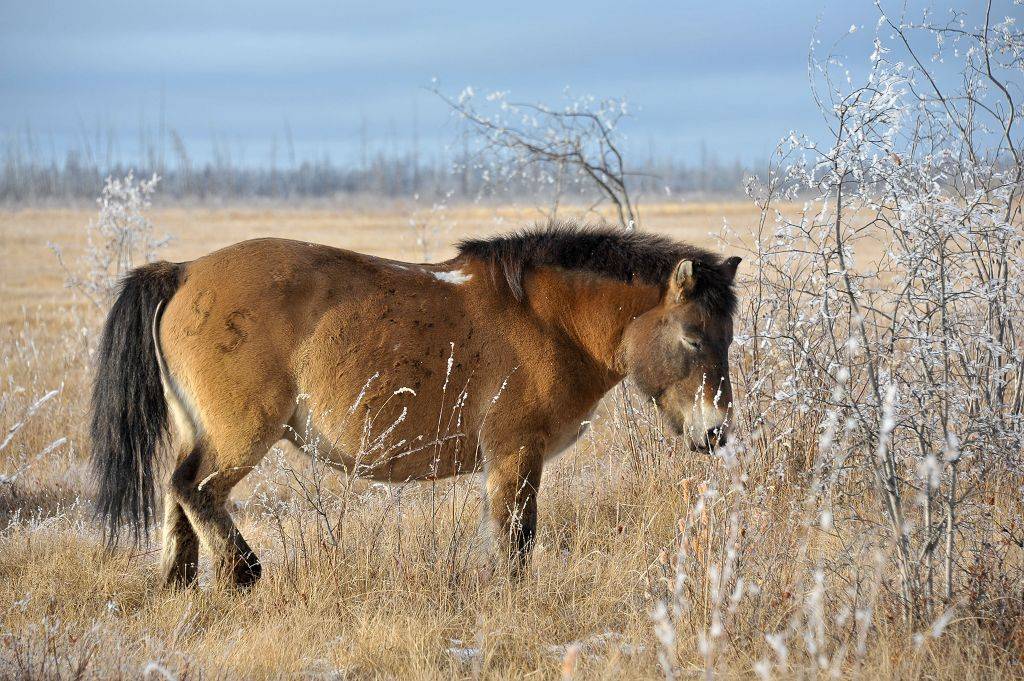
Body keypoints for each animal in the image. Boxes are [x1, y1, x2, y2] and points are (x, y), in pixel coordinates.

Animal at [89, 223, 741, 588]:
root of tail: (183, 272)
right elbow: (516, 539)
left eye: (727, 337)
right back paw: (241, 575)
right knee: (195, 489)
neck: (547, 320)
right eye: (692, 337)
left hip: (196, 429)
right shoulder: (514, 455)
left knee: (177, 499)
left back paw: (180, 585)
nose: (715, 432)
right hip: (238, 436)